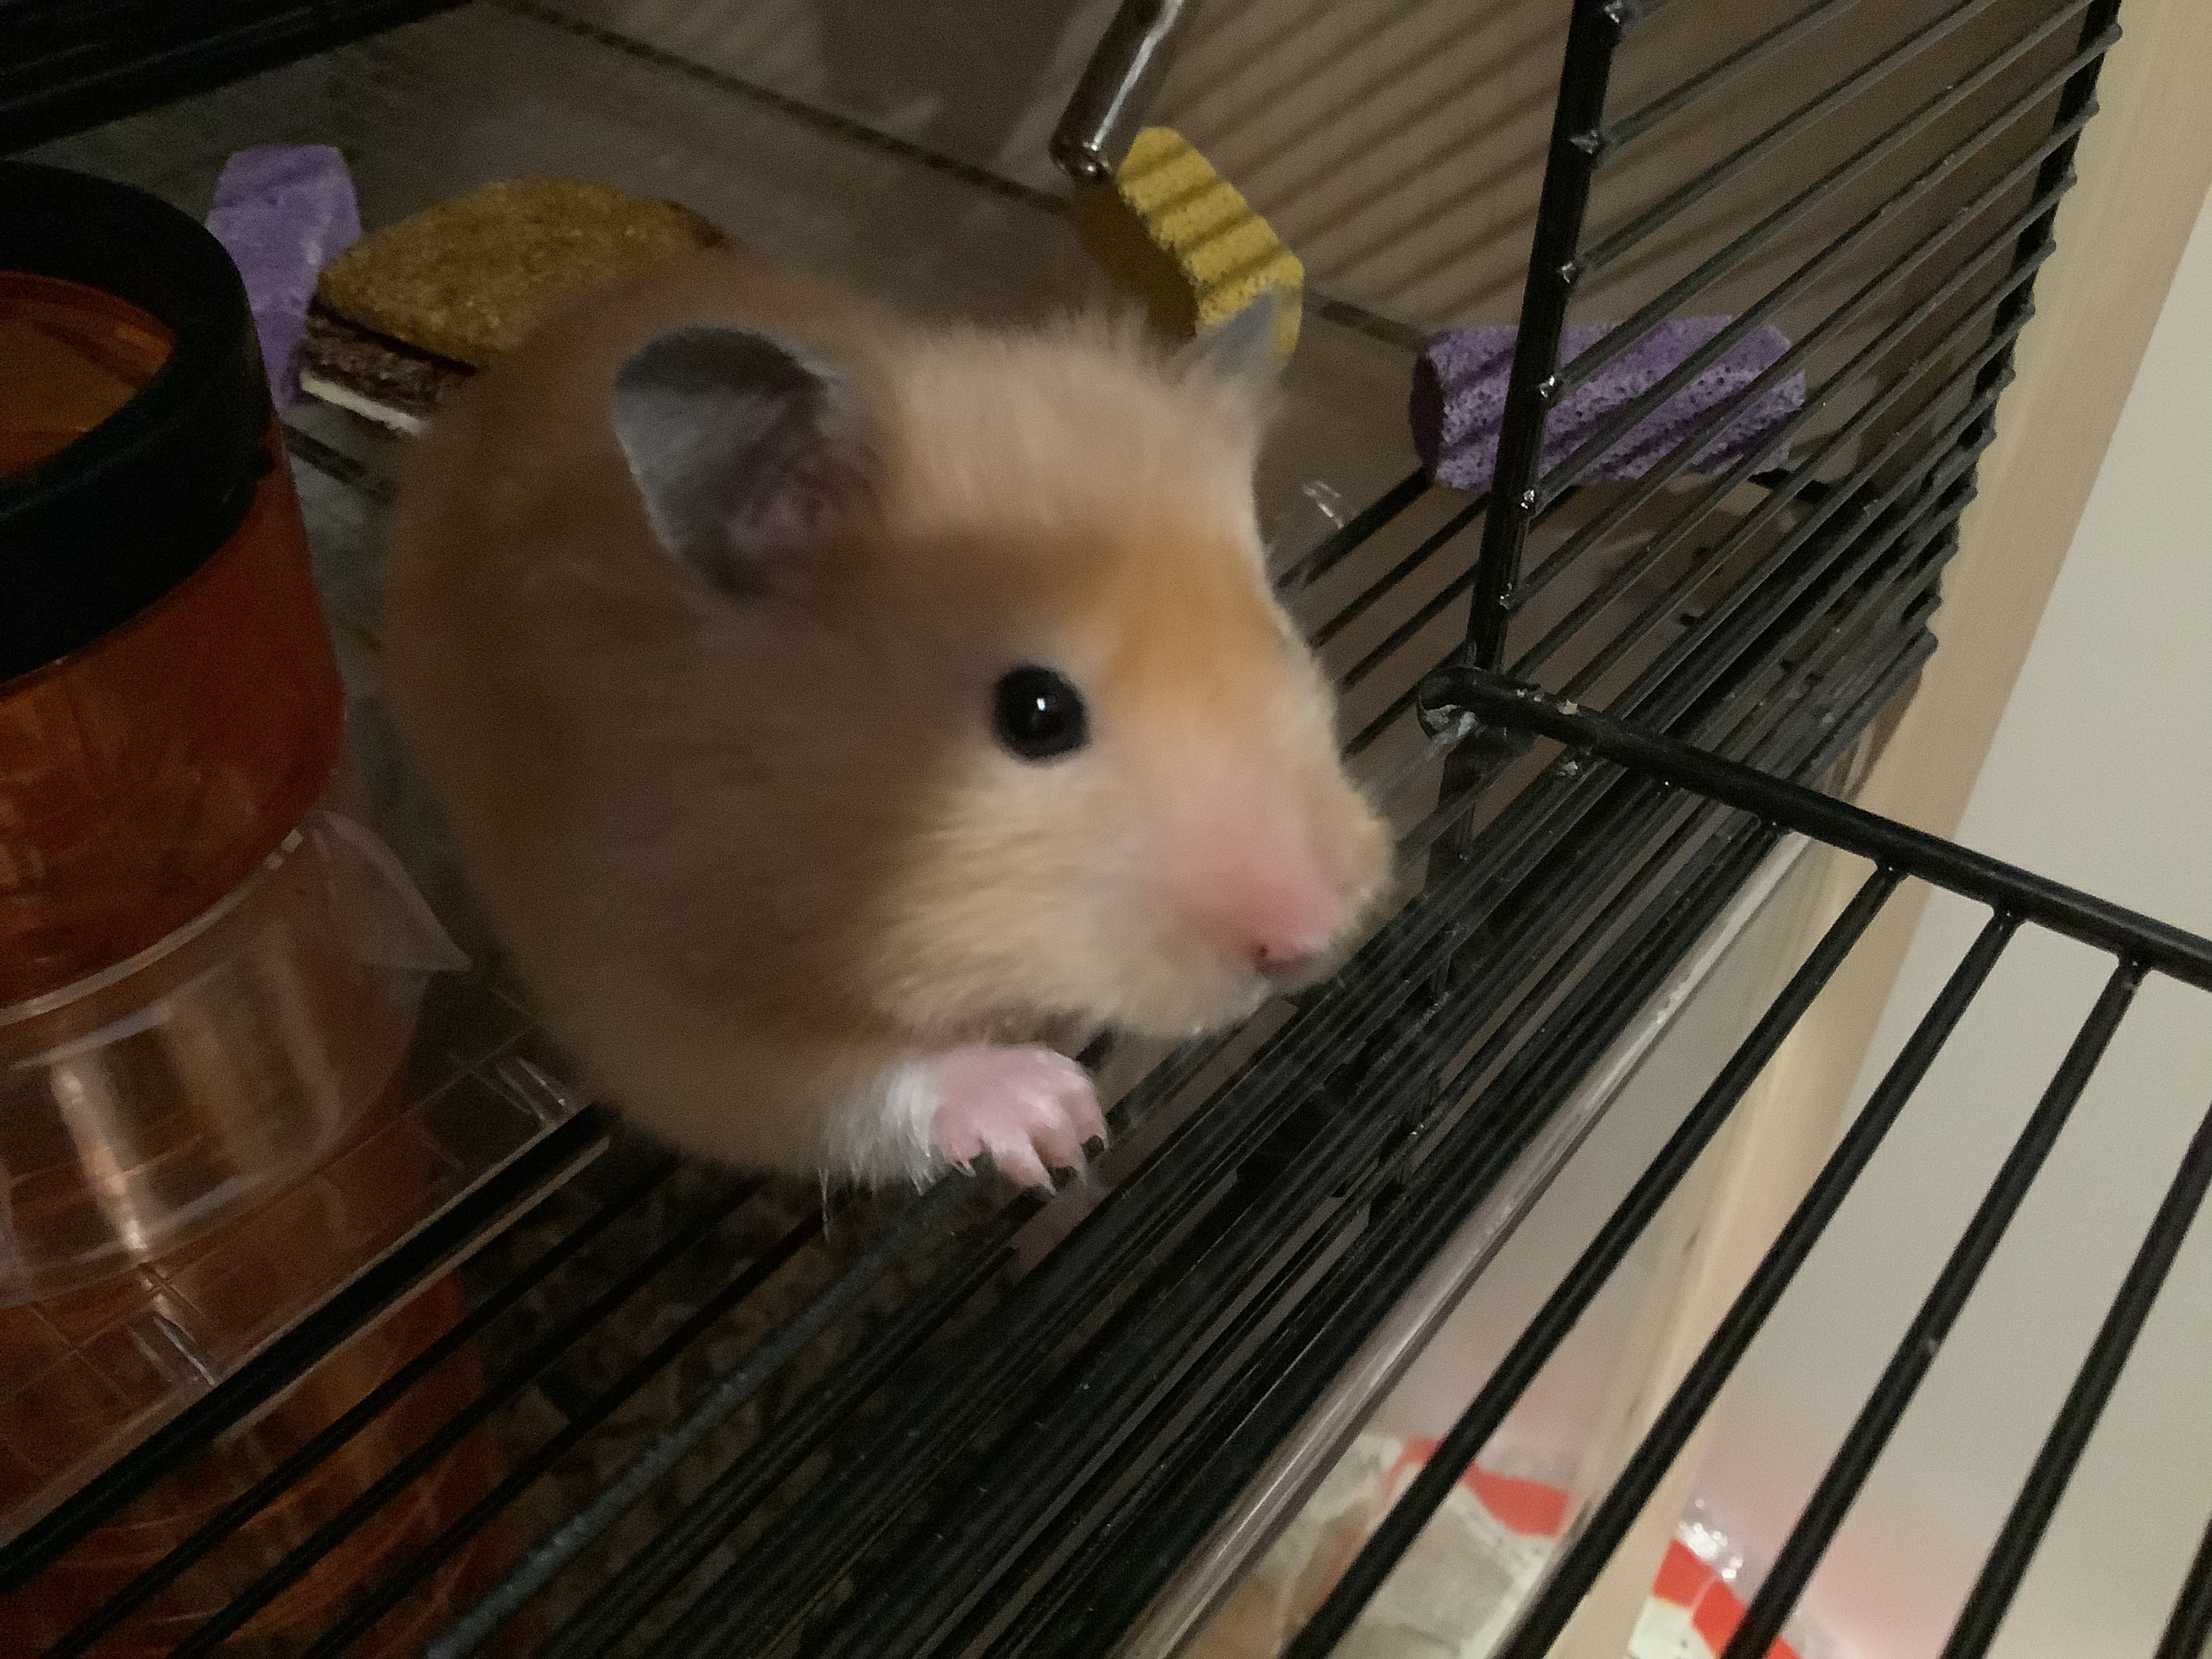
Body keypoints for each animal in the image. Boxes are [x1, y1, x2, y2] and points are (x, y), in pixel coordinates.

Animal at [380, 247, 1391, 1190]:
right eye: (1034, 713)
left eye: (1278, 631)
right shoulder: (649, 993)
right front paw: (1059, 1121)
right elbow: (831, 1085)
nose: (1311, 937)